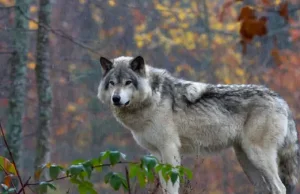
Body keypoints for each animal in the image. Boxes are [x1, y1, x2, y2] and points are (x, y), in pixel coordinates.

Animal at [97, 55, 298, 193]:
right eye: (112, 83)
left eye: (128, 82)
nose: (116, 98)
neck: (153, 97)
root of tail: (281, 100)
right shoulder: (156, 153)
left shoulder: (170, 148)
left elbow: (171, 186)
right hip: (246, 159)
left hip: (257, 155)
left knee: (280, 187)